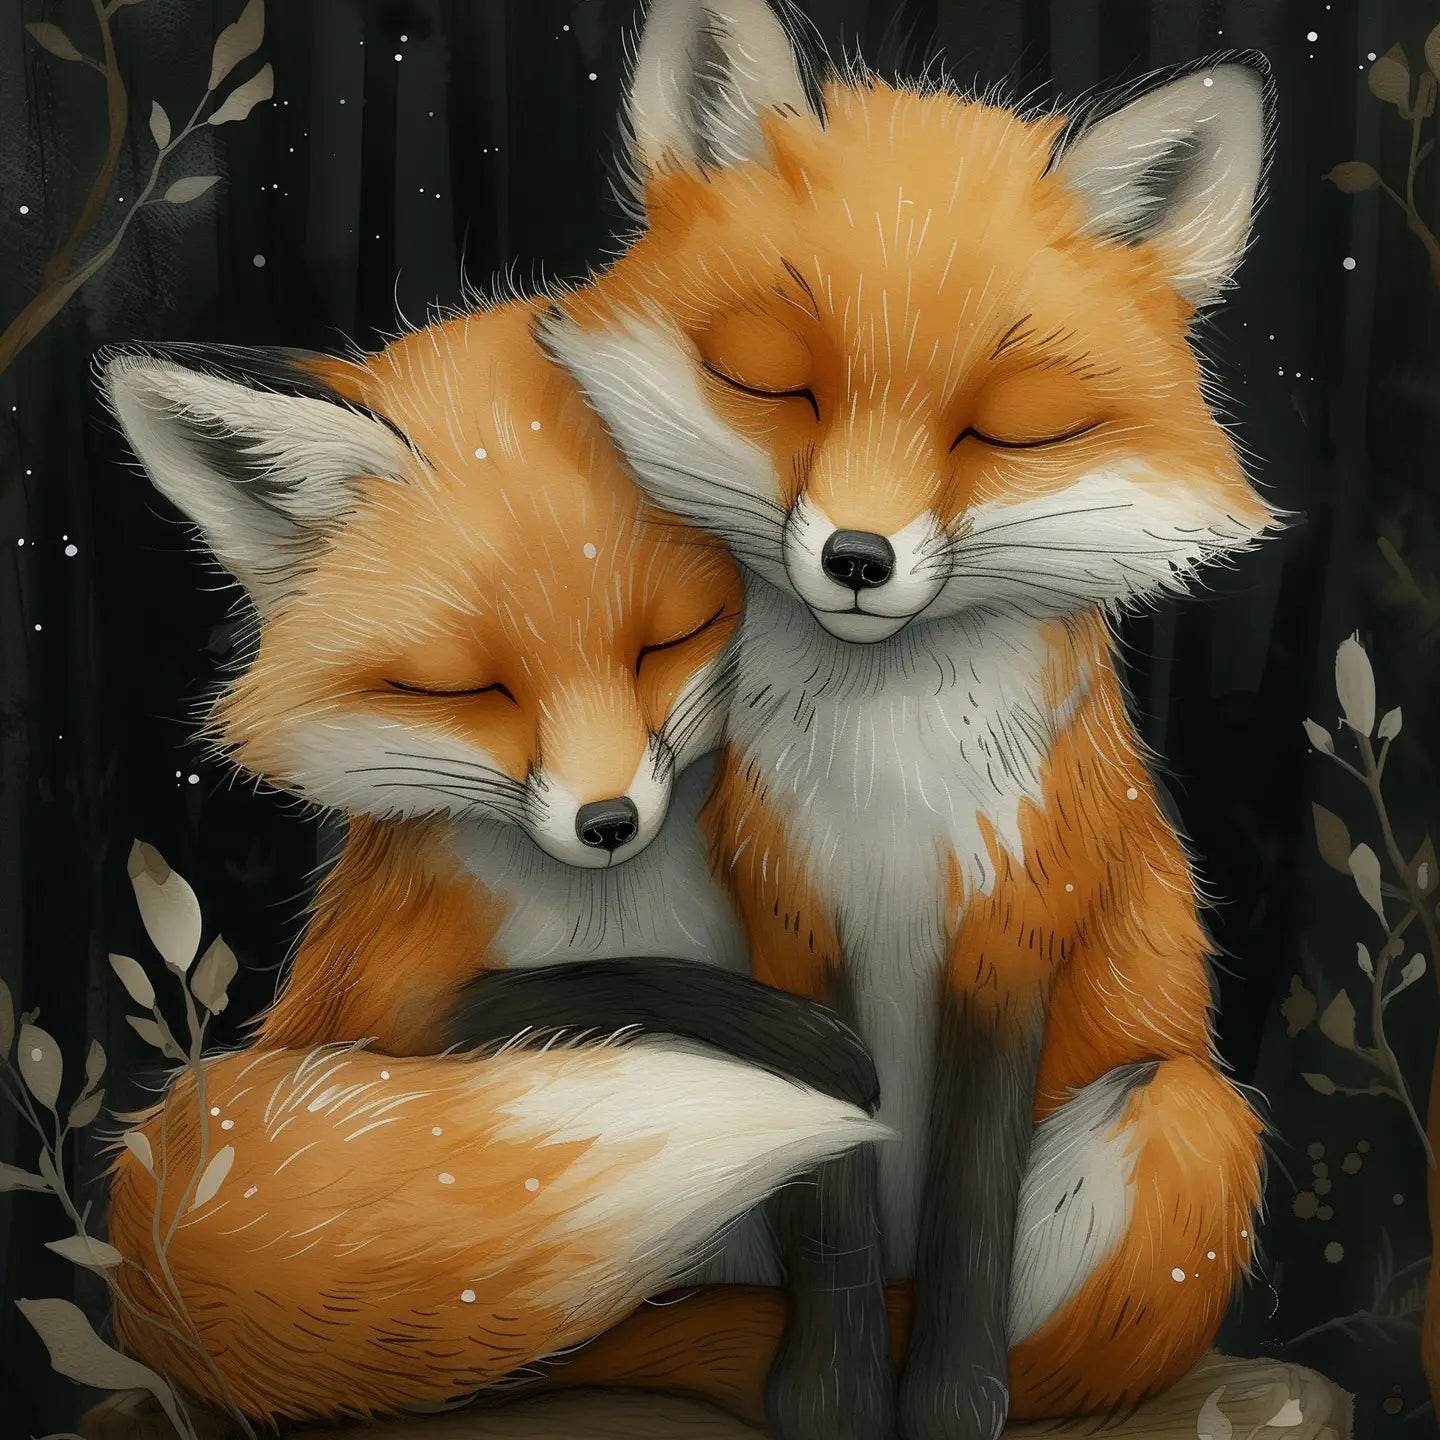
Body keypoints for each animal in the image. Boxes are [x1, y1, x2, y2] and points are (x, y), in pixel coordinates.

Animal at [94, 301, 885, 1425]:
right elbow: (518, 1002)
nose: (608, 823)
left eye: (670, 642)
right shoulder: (383, 995)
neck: (615, 907)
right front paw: (806, 1047)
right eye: (466, 689)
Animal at [538, 3, 1276, 1438]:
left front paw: (942, 1403)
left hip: (1174, 1116)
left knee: (1070, 1358)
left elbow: (970, 1210)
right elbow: (829, 1199)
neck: (886, 781)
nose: (858, 560)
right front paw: (829, 1398)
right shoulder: (787, 915)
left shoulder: (1015, 920)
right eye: (772, 383)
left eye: (1011, 427)